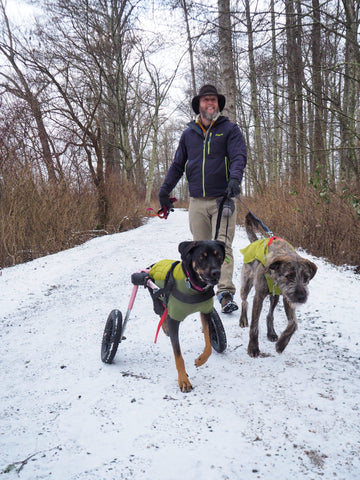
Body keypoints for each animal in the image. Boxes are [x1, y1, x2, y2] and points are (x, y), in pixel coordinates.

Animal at [149, 242, 225, 392]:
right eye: (202, 257)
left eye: (219, 255)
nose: (216, 272)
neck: (193, 287)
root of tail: (152, 266)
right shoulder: (174, 320)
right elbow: (178, 356)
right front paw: (184, 380)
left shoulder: (205, 311)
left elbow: (208, 343)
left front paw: (200, 360)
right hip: (156, 298)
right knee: (160, 312)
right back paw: (164, 327)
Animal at [240, 213, 316, 356]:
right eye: (289, 276)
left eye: (306, 277)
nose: (301, 297)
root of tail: (254, 242)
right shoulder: (259, 296)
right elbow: (254, 325)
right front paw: (253, 347)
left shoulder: (287, 298)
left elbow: (293, 323)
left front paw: (282, 343)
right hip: (246, 284)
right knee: (244, 301)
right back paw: (243, 319)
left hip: (274, 297)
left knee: (270, 314)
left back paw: (271, 333)